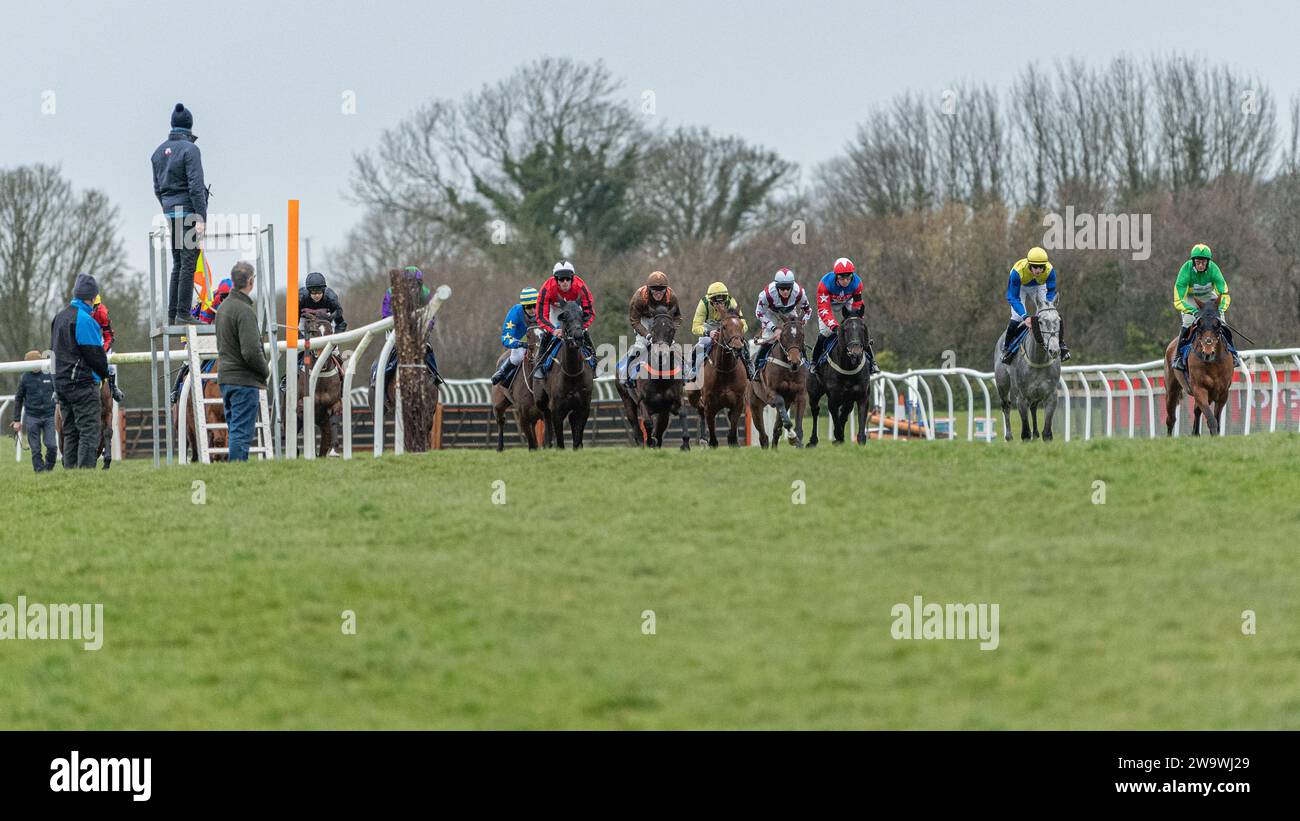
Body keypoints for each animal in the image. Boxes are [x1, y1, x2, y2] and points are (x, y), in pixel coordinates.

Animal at [681, 309, 754, 449]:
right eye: (724, 326)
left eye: (741, 325)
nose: (737, 347)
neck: (725, 370)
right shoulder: (709, 403)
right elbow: (711, 428)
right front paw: (711, 442)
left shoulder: (739, 402)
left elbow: (733, 423)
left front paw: (734, 441)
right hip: (692, 396)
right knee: (700, 411)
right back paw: (703, 440)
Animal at [748, 313, 806, 449]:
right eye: (784, 335)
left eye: (802, 334)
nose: (795, 361)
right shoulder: (772, 393)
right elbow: (782, 409)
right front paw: (792, 437)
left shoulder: (800, 394)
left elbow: (796, 425)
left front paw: (798, 441)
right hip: (754, 404)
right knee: (763, 435)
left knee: (776, 429)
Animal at [800, 306, 873, 449]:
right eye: (846, 329)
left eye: (863, 328)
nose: (856, 351)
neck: (849, 368)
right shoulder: (833, 397)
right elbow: (835, 417)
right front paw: (838, 437)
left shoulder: (862, 395)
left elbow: (858, 416)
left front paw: (861, 440)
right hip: (814, 392)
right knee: (815, 410)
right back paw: (813, 440)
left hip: (848, 398)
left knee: (844, 412)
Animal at [993, 298, 1066, 441]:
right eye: (1040, 322)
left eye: (1058, 320)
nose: (1054, 350)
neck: (1038, 360)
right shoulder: (1022, 397)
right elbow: (1025, 432)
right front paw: (1027, 437)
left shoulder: (1051, 395)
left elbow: (1047, 432)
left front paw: (1041, 435)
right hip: (1002, 384)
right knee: (1006, 406)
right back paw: (1009, 436)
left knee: (1033, 407)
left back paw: (1035, 434)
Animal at [1164, 294, 1232, 436]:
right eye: (1199, 325)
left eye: (1217, 325)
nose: (1208, 352)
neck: (1213, 363)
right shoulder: (1199, 388)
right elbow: (1211, 418)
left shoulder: (1223, 392)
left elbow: (1216, 418)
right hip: (1172, 390)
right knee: (1171, 418)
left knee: (1196, 410)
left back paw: (1195, 433)